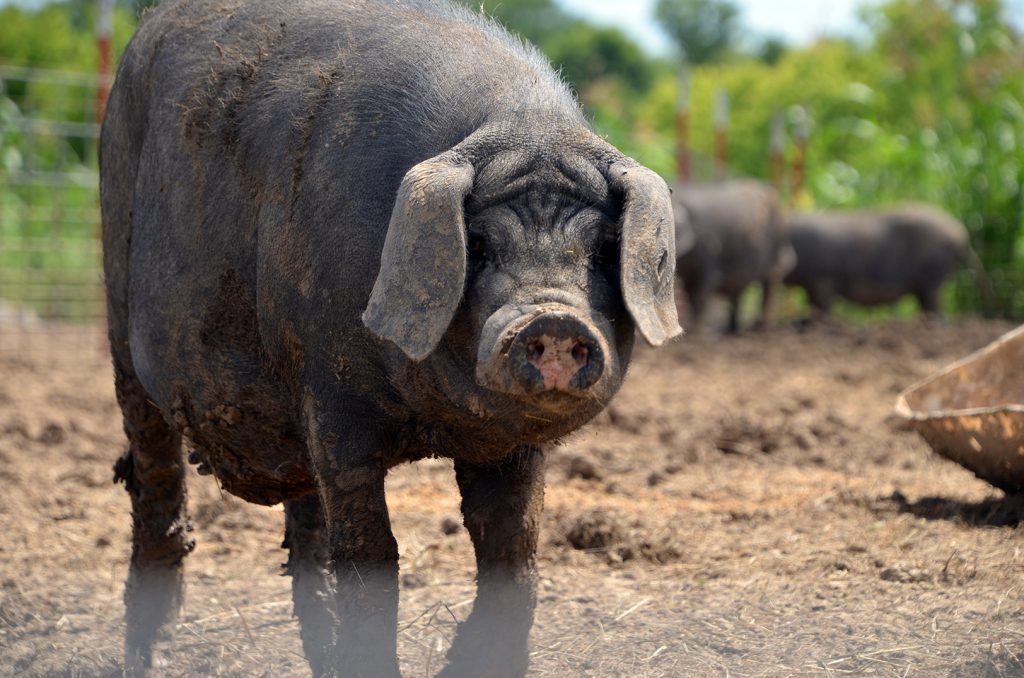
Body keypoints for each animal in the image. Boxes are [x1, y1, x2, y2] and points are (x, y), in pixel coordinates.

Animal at [99, 1, 684, 678]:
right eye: (478, 245)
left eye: (600, 251)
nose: (553, 321)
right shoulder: (330, 390)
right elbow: (372, 552)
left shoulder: (511, 446)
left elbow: (512, 548)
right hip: (122, 312)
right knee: (156, 485)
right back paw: (146, 653)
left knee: (307, 535)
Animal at [675, 179, 794, 329]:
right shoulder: (688, 278)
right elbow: (690, 297)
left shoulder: (710, 268)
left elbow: (698, 297)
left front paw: (694, 329)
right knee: (738, 297)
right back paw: (731, 328)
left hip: (773, 267)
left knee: (768, 293)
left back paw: (761, 326)